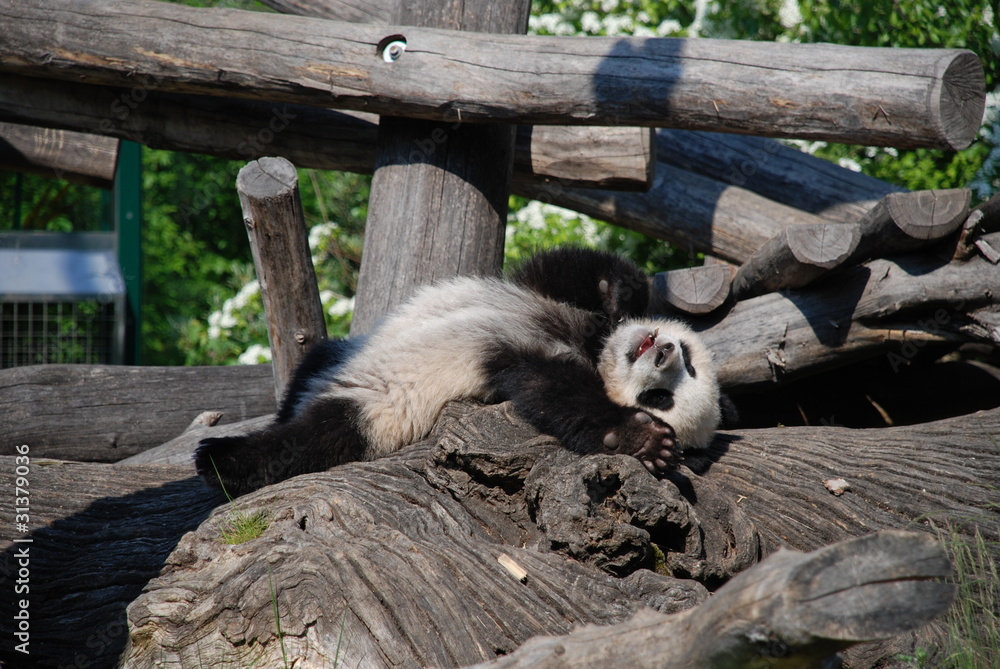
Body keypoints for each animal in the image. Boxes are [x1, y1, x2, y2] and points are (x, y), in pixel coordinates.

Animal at [195, 249, 711, 497]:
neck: (590, 342)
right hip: (348, 352)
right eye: (687, 359)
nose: (663, 352)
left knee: (314, 437)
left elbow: (553, 392)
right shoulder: (539, 297)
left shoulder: (511, 363)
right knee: (312, 370)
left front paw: (642, 440)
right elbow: (564, 269)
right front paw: (619, 294)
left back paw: (222, 461)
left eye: (660, 399)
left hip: (375, 409)